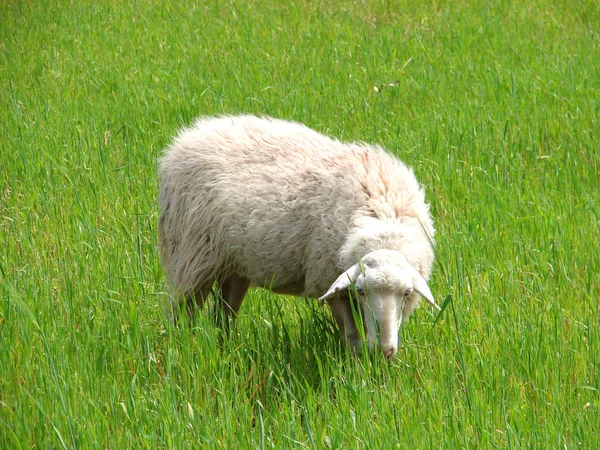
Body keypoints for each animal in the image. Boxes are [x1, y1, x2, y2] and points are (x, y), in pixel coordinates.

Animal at [158, 114, 440, 360]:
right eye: (360, 291)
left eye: (407, 293)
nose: (384, 351)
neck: (383, 217)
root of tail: (186, 138)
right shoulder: (327, 282)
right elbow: (352, 336)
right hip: (190, 257)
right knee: (180, 314)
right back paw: (181, 351)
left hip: (235, 266)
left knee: (224, 316)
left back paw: (226, 351)